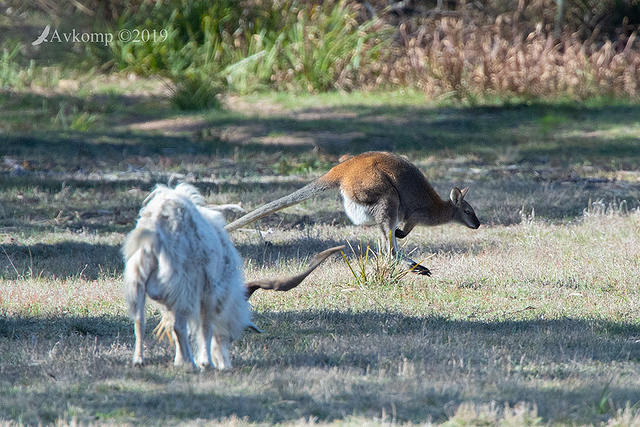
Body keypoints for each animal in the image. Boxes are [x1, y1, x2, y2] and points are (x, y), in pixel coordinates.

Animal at [120, 184, 340, 372]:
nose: (225, 365)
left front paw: (182, 360)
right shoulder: (208, 294)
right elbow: (203, 328)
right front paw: (203, 361)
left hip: (137, 280)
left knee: (139, 320)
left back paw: (140, 360)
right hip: (182, 285)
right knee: (178, 325)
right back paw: (193, 363)